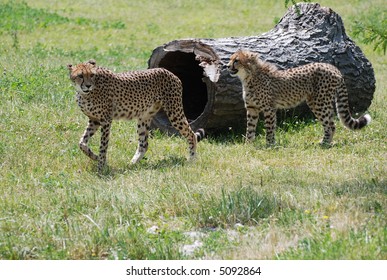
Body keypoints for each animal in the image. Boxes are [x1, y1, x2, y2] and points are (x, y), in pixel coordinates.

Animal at [66, 60, 206, 172]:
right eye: (80, 76)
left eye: (91, 75)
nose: (88, 85)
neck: (85, 93)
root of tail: (168, 72)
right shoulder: (94, 120)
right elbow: (81, 143)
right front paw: (94, 157)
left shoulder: (105, 120)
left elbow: (103, 146)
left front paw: (101, 167)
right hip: (144, 118)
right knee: (144, 144)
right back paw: (132, 164)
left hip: (174, 113)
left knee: (191, 134)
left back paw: (192, 159)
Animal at [227, 50, 372, 145]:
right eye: (230, 59)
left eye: (236, 60)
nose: (227, 66)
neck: (248, 77)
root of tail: (331, 66)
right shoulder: (252, 109)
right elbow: (250, 128)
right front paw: (248, 145)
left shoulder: (269, 109)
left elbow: (269, 128)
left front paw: (270, 145)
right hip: (319, 102)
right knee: (331, 123)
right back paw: (327, 142)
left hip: (318, 102)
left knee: (330, 125)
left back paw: (324, 144)